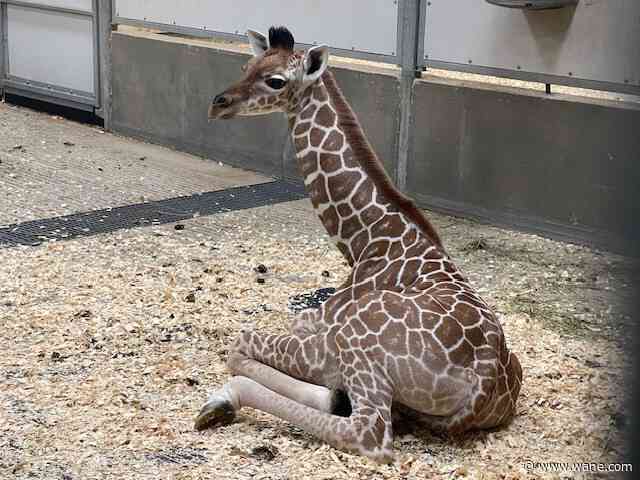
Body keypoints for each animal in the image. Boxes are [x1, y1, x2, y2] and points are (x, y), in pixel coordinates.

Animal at [196, 26, 522, 463]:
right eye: (247, 65)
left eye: (276, 80)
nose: (218, 104)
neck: (364, 239)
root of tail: (484, 382)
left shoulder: (318, 322)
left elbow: (240, 343)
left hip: (353, 344)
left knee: (368, 434)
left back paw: (226, 401)